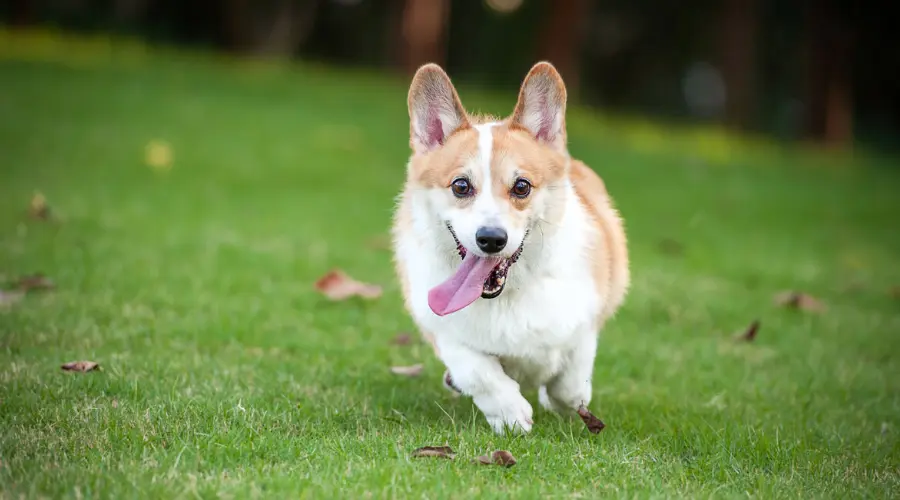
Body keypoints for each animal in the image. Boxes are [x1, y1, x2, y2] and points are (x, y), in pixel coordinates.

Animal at [390, 59, 628, 434]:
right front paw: (509, 412)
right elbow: (477, 371)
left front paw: (563, 398)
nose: (491, 239)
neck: (505, 296)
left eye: (521, 186)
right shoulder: (443, 329)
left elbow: (569, 384)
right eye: (461, 186)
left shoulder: (584, 324)